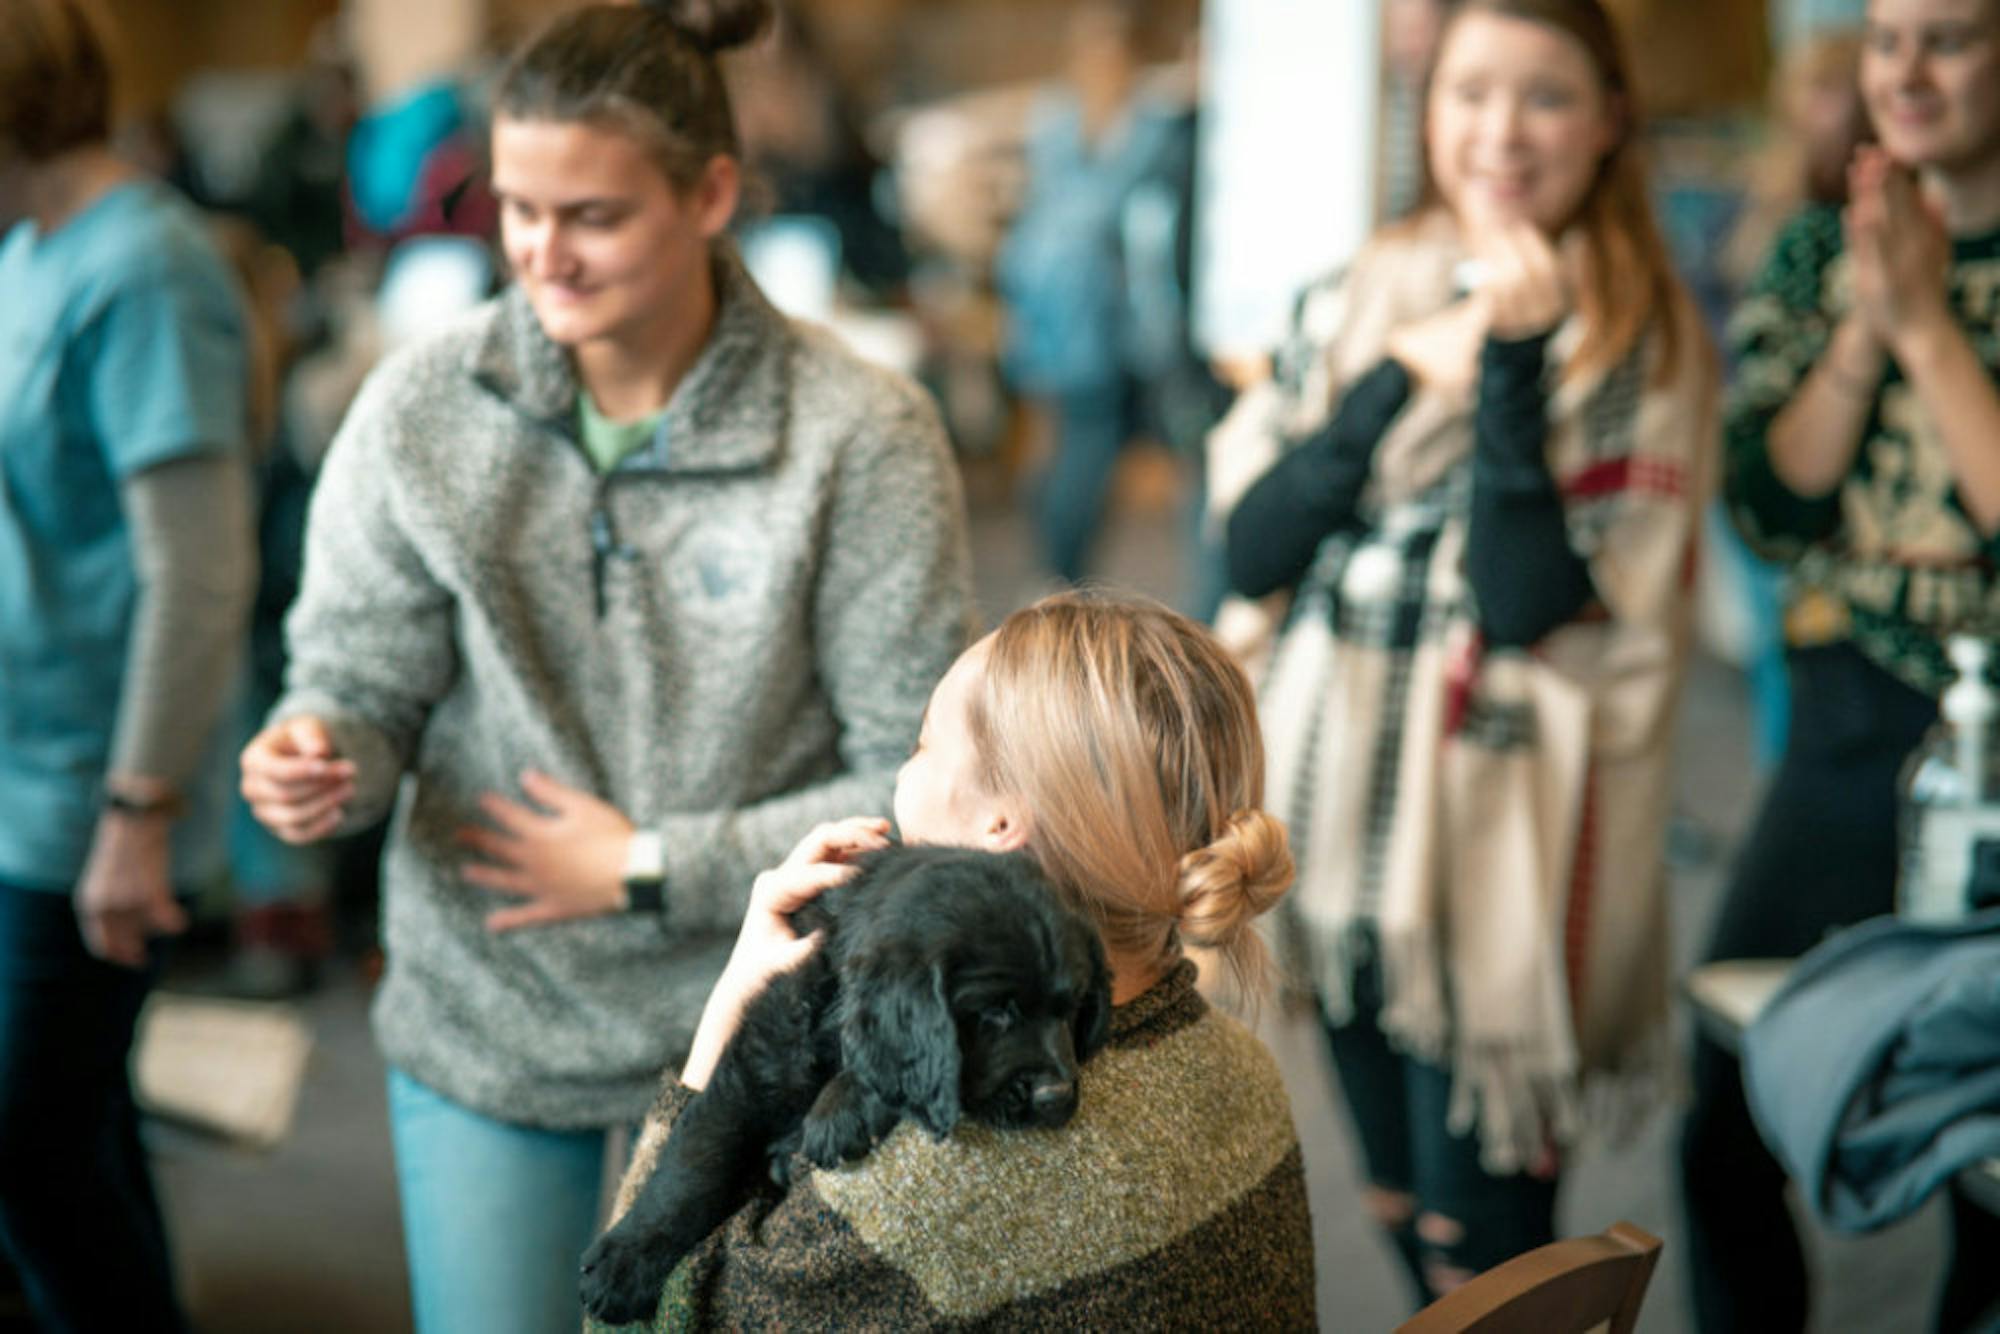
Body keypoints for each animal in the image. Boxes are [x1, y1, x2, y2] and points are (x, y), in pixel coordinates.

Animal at [580, 844, 1112, 1328]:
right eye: (997, 1012)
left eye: (1074, 1007)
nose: (1055, 1097)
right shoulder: (756, 1058)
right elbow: (696, 1160)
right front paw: (624, 1262)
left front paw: (841, 1108)